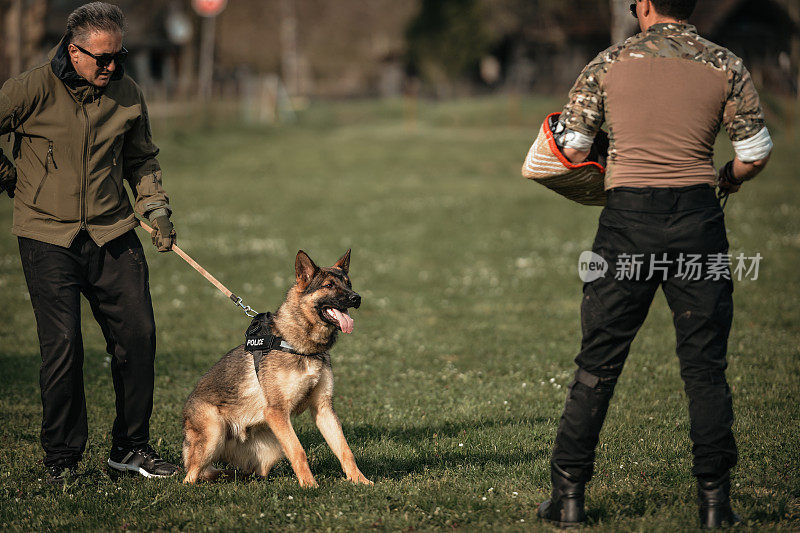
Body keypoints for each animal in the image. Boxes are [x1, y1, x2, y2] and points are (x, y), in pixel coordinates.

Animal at [182, 249, 372, 486]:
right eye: (328, 285)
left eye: (348, 283)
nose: (357, 298)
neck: (300, 345)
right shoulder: (277, 412)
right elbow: (299, 450)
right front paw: (310, 486)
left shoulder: (323, 409)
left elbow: (345, 449)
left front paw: (360, 480)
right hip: (214, 434)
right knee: (190, 476)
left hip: (271, 449)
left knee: (251, 472)